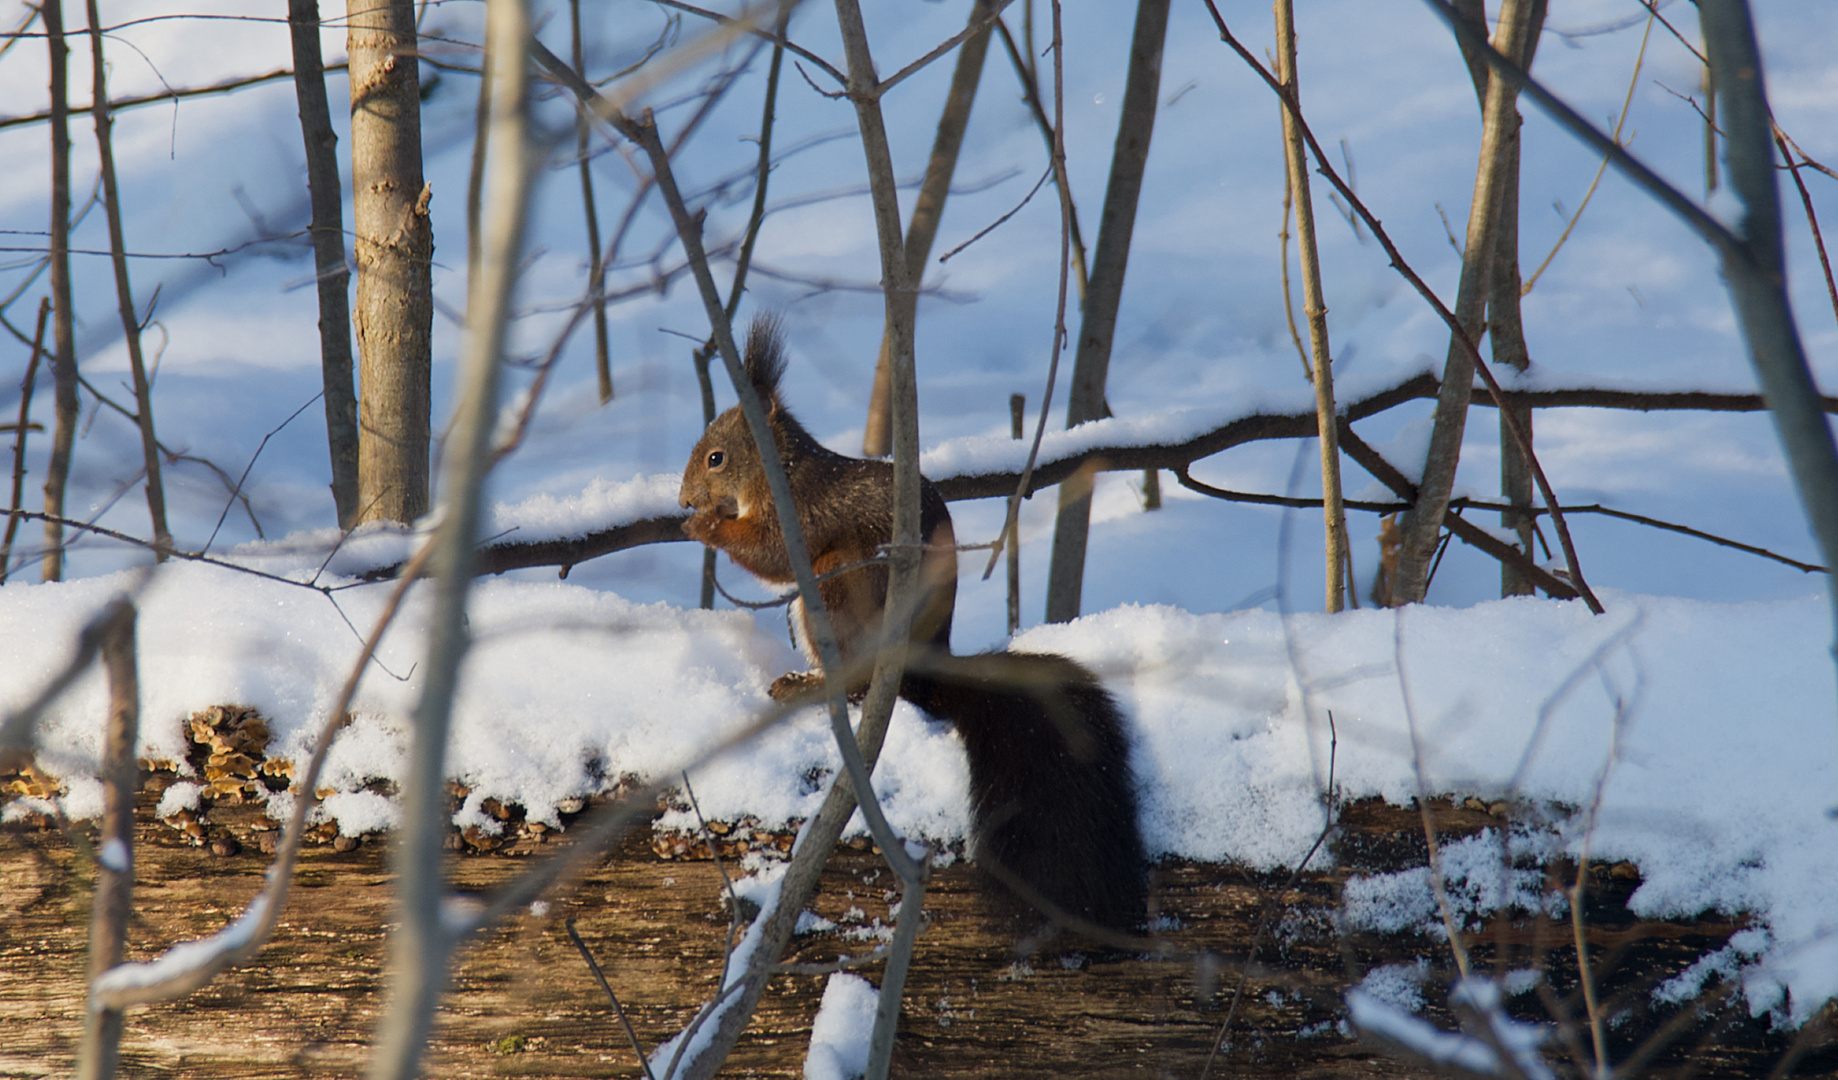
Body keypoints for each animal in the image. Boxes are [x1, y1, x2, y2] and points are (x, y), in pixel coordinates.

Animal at [676, 315, 1139, 933]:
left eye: (716, 458)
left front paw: (704, 525)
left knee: (852, 679)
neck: (783, 471)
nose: (683, 499)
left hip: (837, 584)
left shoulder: (803, 514)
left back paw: (809, 686)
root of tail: (926, 669)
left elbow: (769, 553)